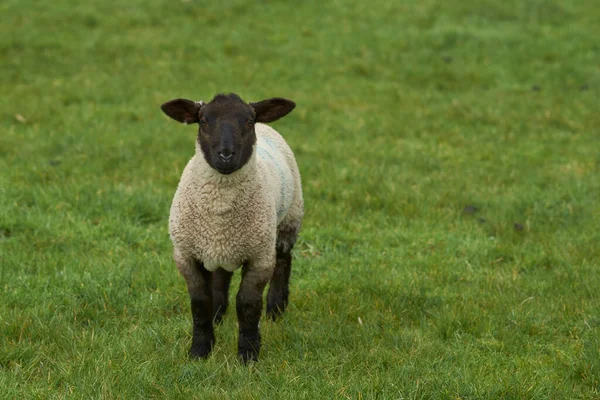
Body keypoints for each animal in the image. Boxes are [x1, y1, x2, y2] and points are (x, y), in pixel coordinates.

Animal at [159, 93, 302, 362]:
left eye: (248, 121)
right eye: (203, 121)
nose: (226, 155)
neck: (220, 213)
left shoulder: (259, 258)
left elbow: (247, 305)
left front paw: (248, 354)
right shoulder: (186, 255)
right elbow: (200, 302)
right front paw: (200, 351)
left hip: (288, 220)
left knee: (283, 261)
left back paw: (276, 310)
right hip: (220, 248)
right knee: (221, 276)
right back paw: (218, 314)